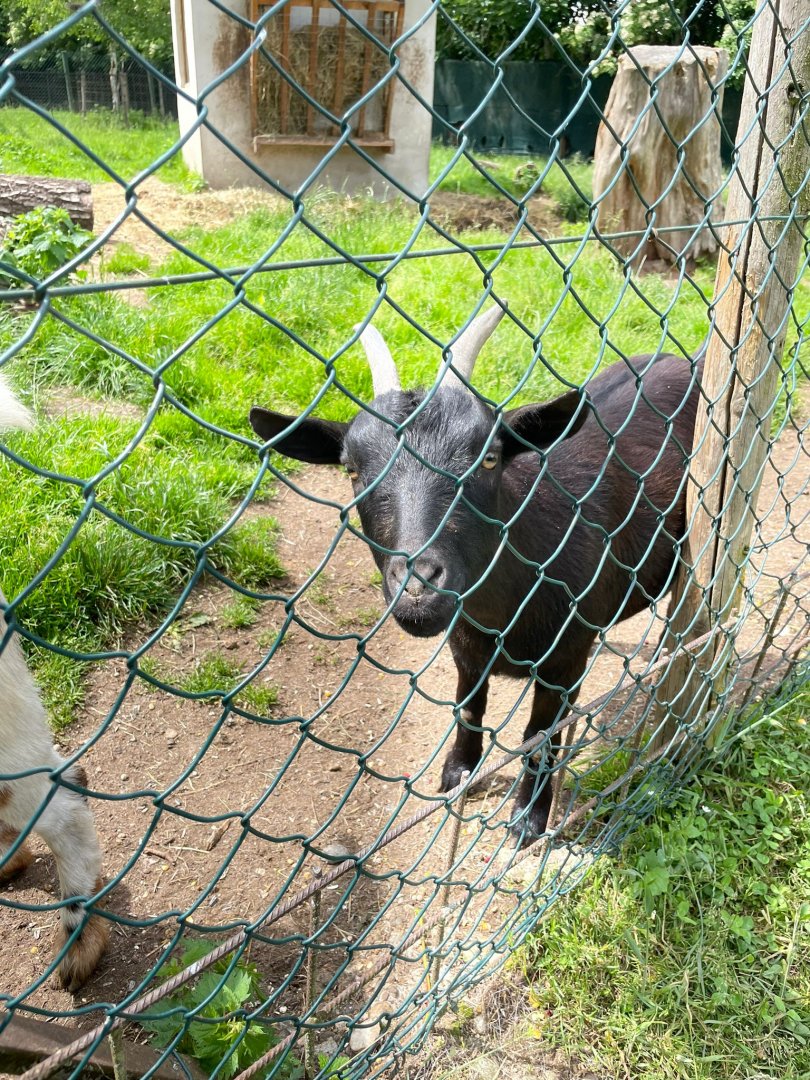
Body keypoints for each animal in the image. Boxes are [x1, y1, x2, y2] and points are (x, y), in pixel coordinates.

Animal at [249, 308, 702, 843]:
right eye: (352, 469)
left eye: (488, 458)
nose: (418, 587)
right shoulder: (466, 647)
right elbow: (468, 709)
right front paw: (457, 773)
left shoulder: (566, 657)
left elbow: (538, 737)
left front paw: (528, 818)